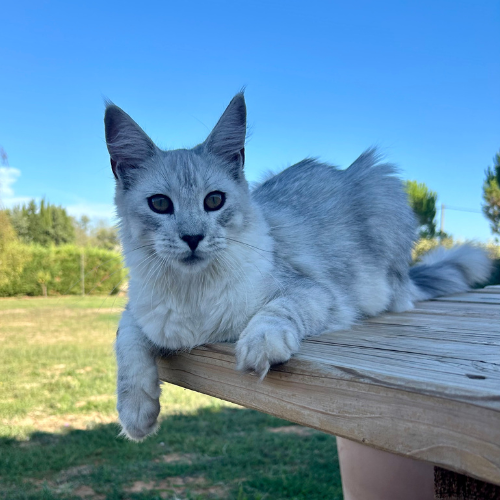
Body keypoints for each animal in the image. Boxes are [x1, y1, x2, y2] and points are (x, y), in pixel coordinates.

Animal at [105, 92, 492, 440]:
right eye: (160, 204)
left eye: (214, 200)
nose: (192, 237)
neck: (193, 293)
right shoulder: (137, 311)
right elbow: (127, 344)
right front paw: (136, 413)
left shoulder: (312, 292)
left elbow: (276, 312)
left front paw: (259, 344)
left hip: (382, 186)